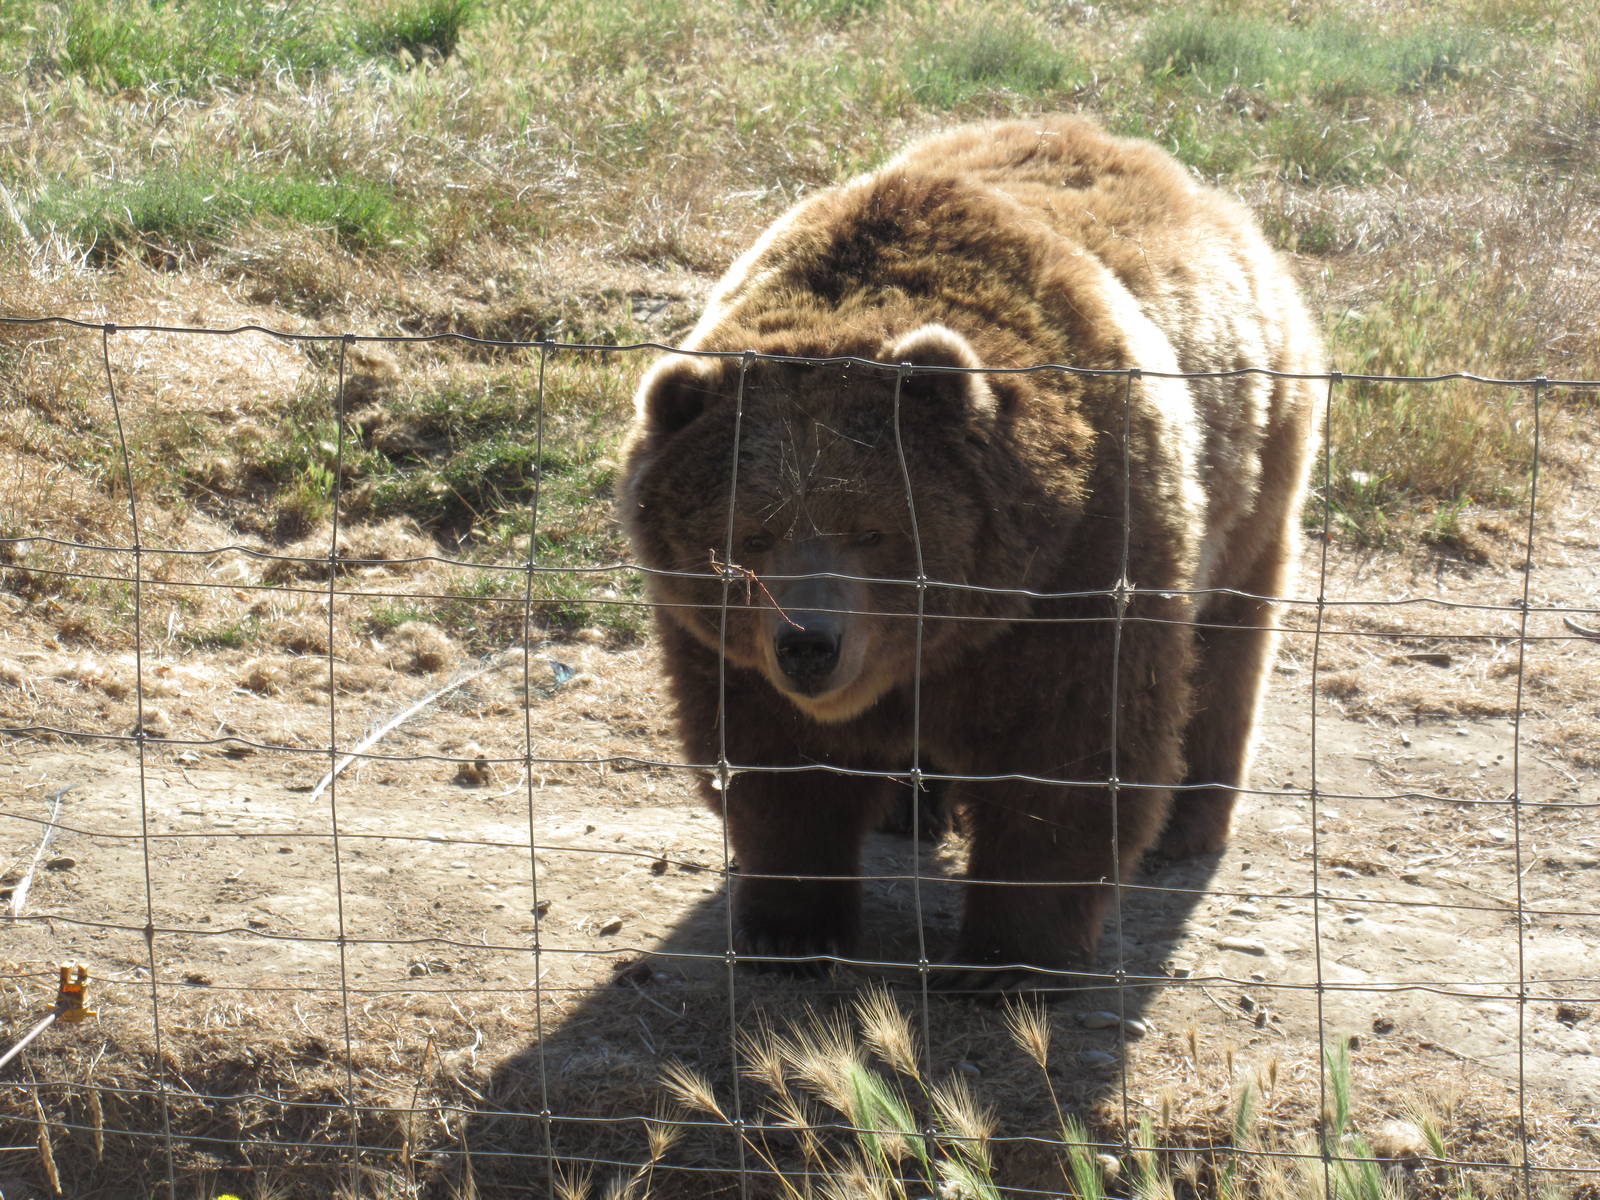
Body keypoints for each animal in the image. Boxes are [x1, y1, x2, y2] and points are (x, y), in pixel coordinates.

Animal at [617, 115, 1324, 990]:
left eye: (873, 529)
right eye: (749, 536)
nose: (809, 644)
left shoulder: (1076, 575)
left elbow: (1068, 763)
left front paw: (1007, 958)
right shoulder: (716, 637)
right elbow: (773, 762)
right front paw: (790, 928)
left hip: (1255, 471)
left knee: (1225, 645)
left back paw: (1186, 821)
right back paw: (907, 809)